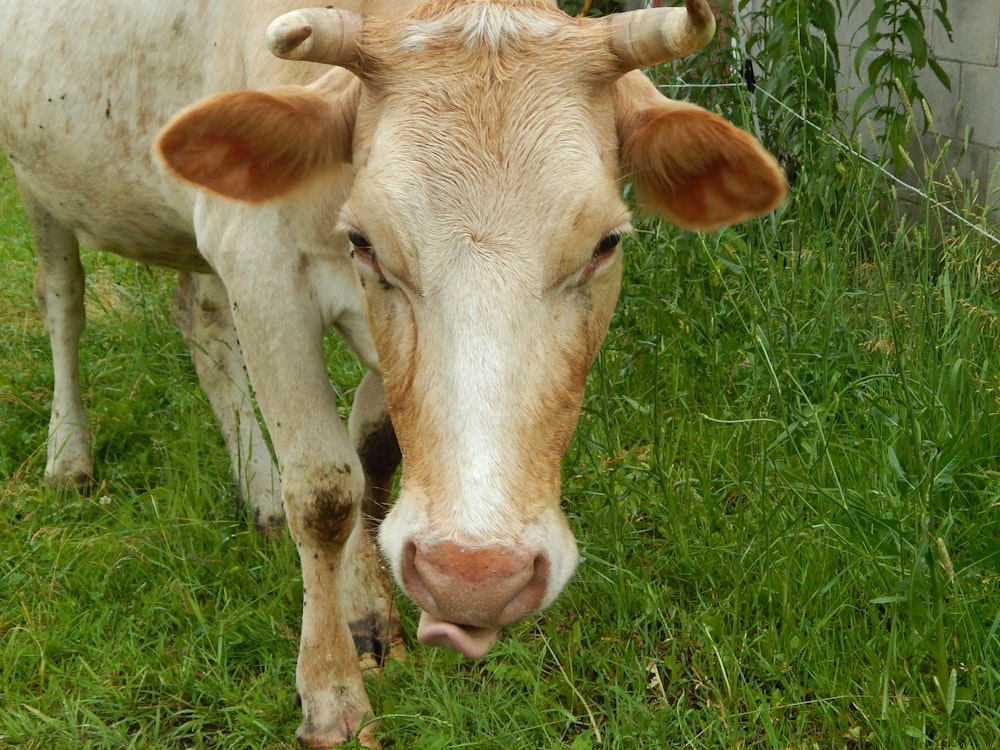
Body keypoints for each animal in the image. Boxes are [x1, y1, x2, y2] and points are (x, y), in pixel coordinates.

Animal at [0, 0, 784, 748]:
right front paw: (330, 696)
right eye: (364, 241)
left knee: (200, 316)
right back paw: (68, 456)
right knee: (63, 300)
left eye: (606, 242)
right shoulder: (260, 263)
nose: (474, 579)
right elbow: (325, 491)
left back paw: (257, 492)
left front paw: (370, 615)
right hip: (38, 184)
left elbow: (372, 450)